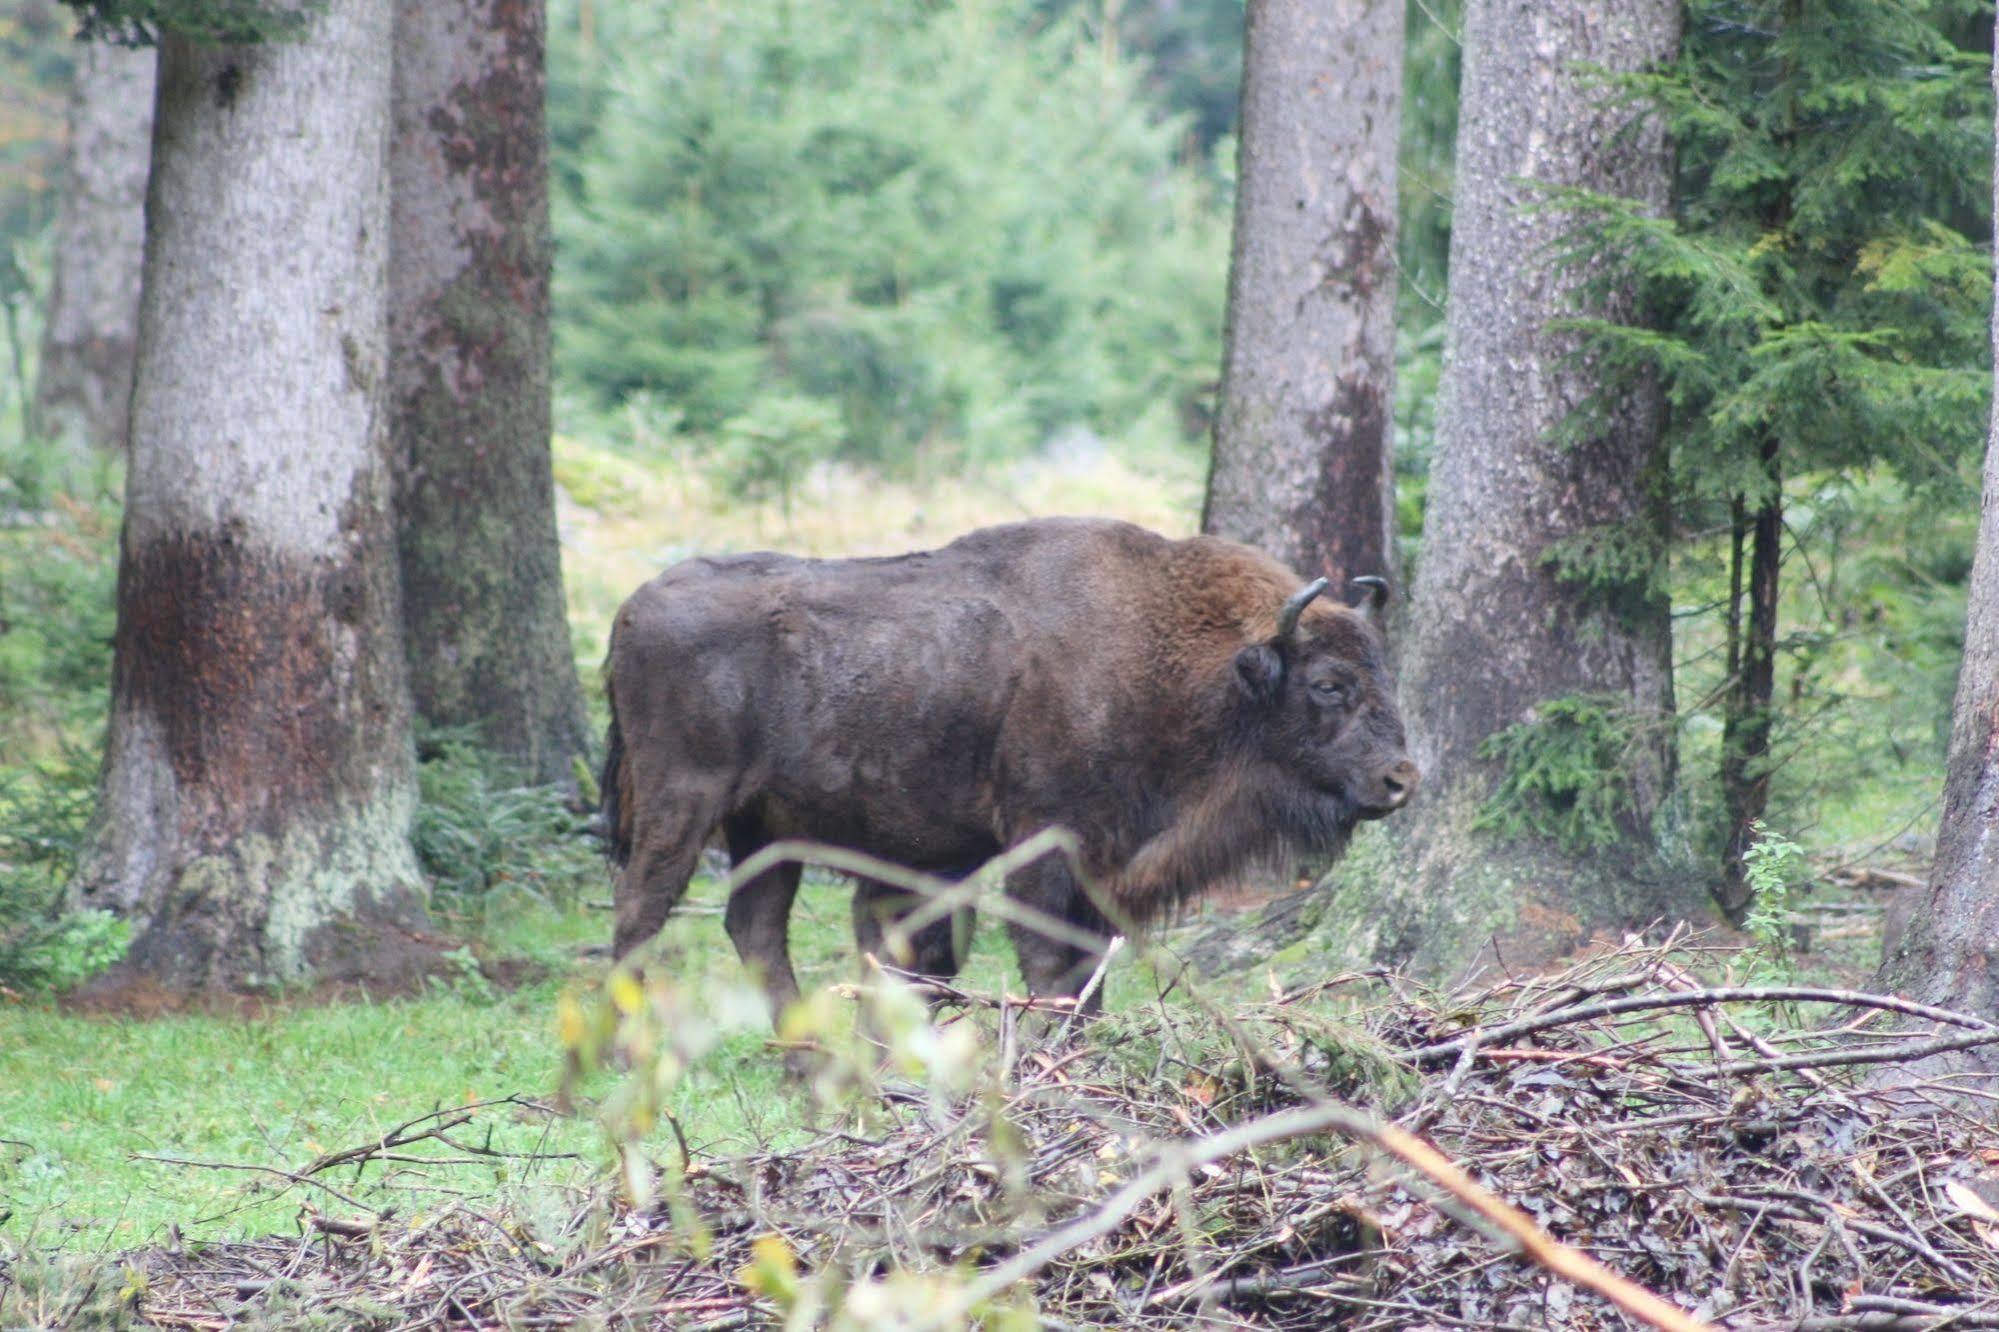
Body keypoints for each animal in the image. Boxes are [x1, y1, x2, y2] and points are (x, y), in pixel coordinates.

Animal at [599, 516, 1415, 1016]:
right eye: (1328, 684)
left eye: (1382, 667)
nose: (1400, 779)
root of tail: (630, 610)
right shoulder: (1045, 843)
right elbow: (1047, 960)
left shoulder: (1105, 862)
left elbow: (1086, 970)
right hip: (684, 802)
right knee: (641, 910)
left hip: (764, 828)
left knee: (755, 928)